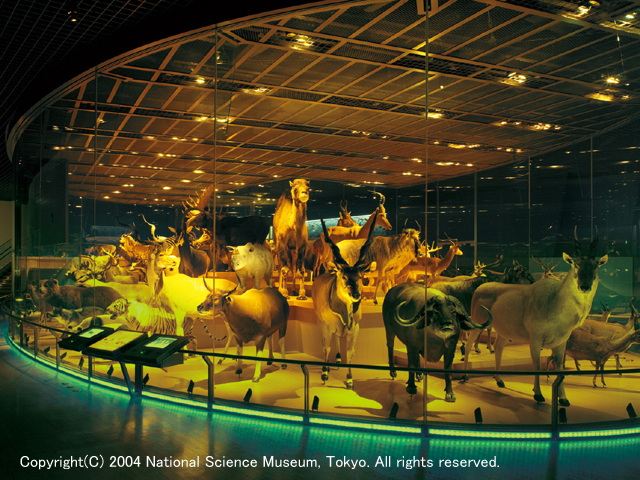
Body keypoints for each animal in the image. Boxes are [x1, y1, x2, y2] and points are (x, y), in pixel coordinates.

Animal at [311, 211, 377, 389]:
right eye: (344, 276)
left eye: (360, 276)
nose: (356, 295)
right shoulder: (325, 326)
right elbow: (325, 348)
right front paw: (324, 375)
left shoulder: (354, 328)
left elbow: (350, 352)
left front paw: (349, 380)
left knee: (337, 338)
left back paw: (338, 358)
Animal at [466, 227, 608, 406]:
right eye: (576, 264)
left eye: (595, 265)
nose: (585, 286)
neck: (555, 300)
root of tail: (479, 289)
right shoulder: (535, 339)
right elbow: (537, 365)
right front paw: (538, 394)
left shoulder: (561, 342)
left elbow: (560, 369)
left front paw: (563, 398)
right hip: (478, 323)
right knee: (469, 344)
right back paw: (464, 376)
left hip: (504, 331)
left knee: (498, 348)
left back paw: (499, 380)